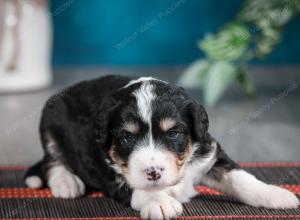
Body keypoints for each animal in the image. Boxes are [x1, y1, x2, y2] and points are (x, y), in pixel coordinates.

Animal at [24, 75, 298, 218]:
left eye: (173, 133)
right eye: (127, 138)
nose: (153, 172)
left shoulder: (208, 152)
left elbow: (240, 177)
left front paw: (275, 194)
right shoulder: (112, 173)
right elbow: (140, 187)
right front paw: (159, 202)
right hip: (49, 121)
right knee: (51, 159)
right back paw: (66, 182)